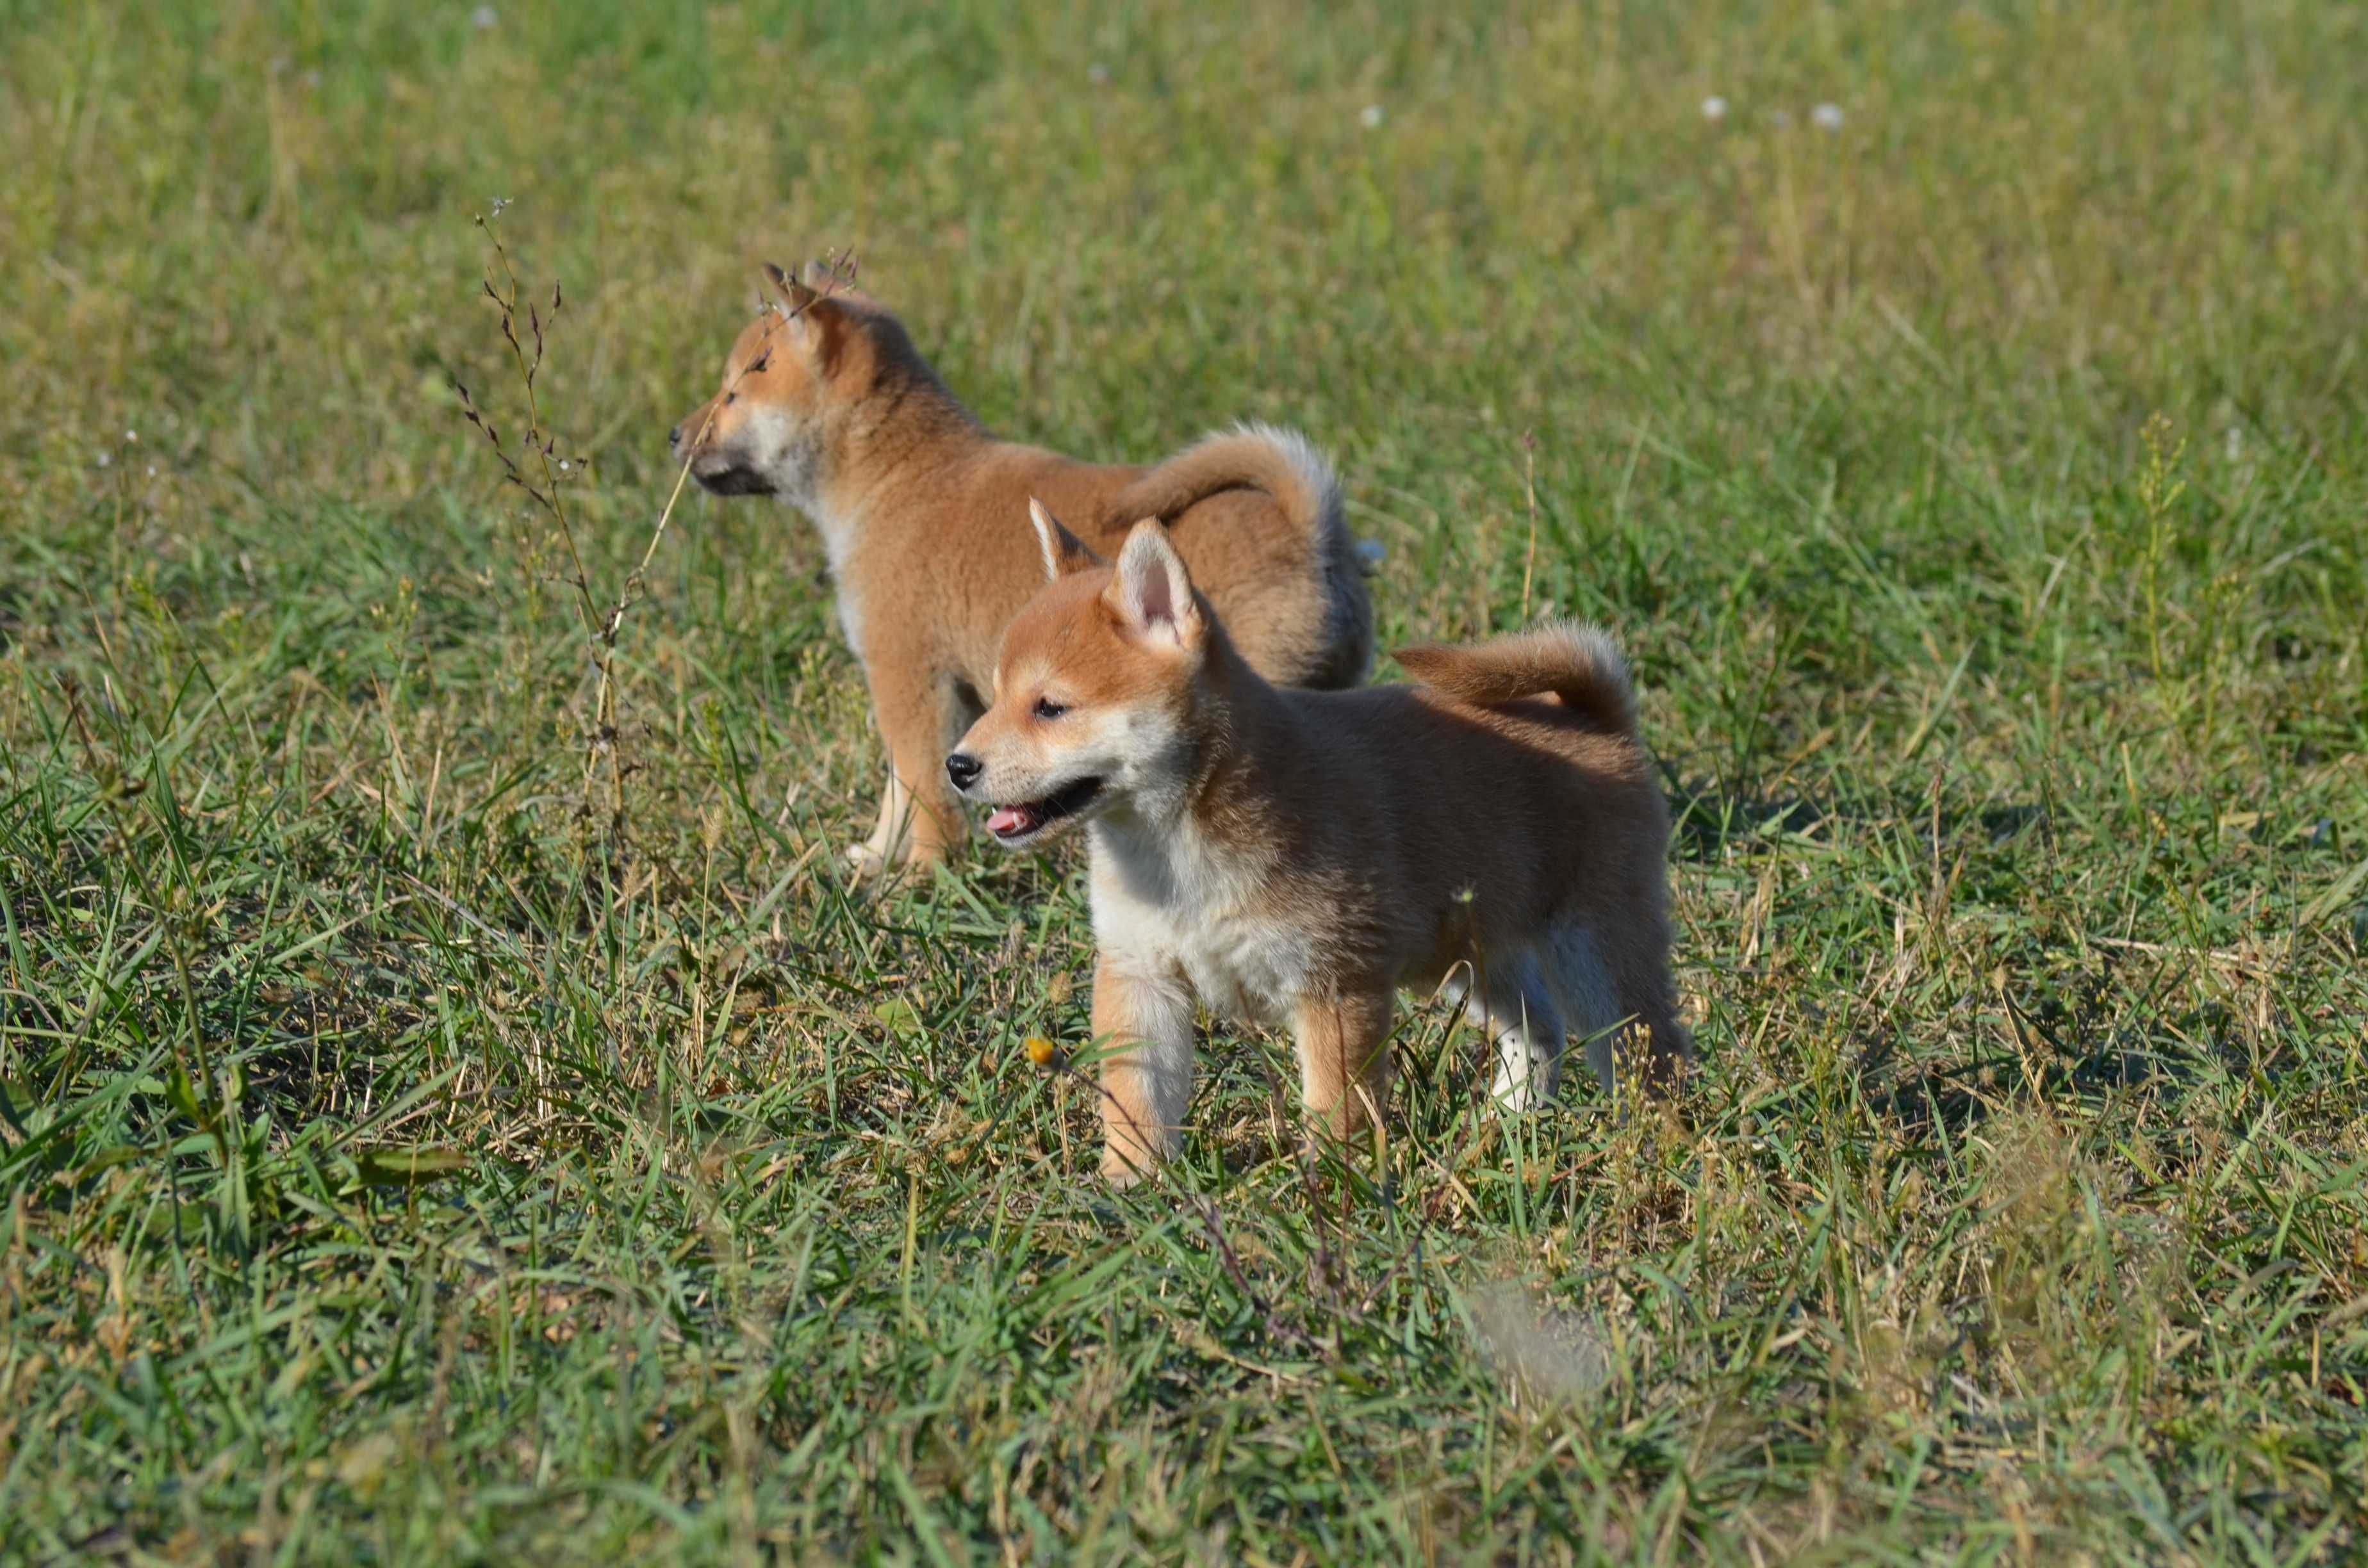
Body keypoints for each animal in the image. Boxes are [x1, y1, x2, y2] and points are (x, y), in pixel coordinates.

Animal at [672, 272, 1373, 886]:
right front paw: (875, 858)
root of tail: (1310, 533)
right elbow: (900, 788)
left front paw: (923, 875)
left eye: (733, 394)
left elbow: (923, 789)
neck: (896, 476)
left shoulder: (910, 678)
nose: (677, 434)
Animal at [937, 509, 1686, 1184]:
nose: (957, 766)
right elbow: (1137, 1102)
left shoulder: (1333, 986)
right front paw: (1133, 1191)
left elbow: (1336, 1109)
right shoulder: (1140, 973)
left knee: (1652, 1057)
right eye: (995, 698)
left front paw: (1333, 1195)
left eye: (1050, 708)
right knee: (1539, 1032)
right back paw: (1505, 1127)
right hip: (1470, 958)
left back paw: (1658, 1149)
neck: (1176, 850)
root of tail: (1594, 716)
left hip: (1595, 956)